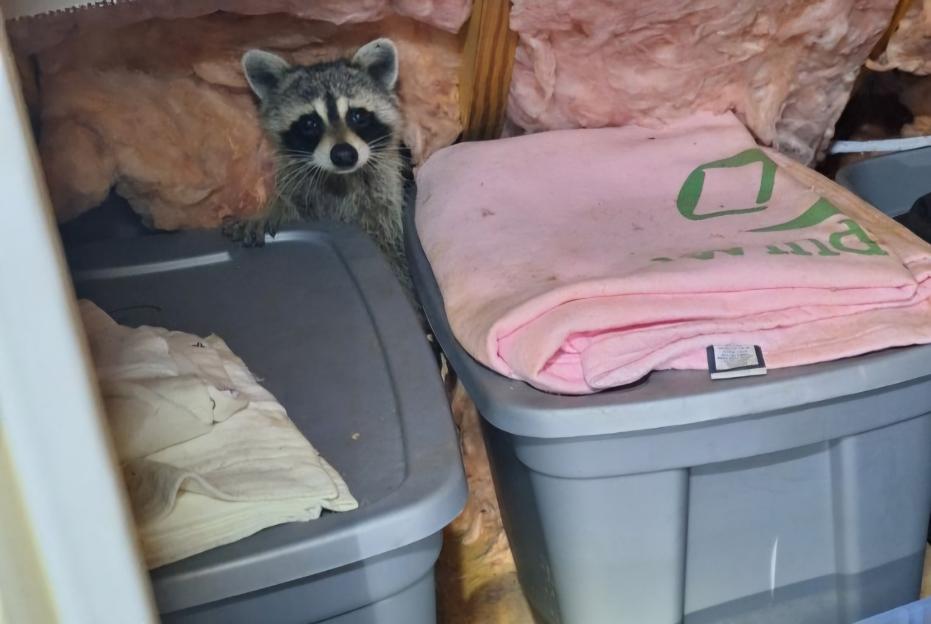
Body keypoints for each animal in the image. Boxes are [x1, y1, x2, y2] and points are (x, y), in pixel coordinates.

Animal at [227, 38, 409, 284]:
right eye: (310, 123)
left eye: (357, 116)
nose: (344, 155)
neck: (340, 179)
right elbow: (296, 205)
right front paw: (272, 210)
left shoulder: (385, 194)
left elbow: (390, 242)